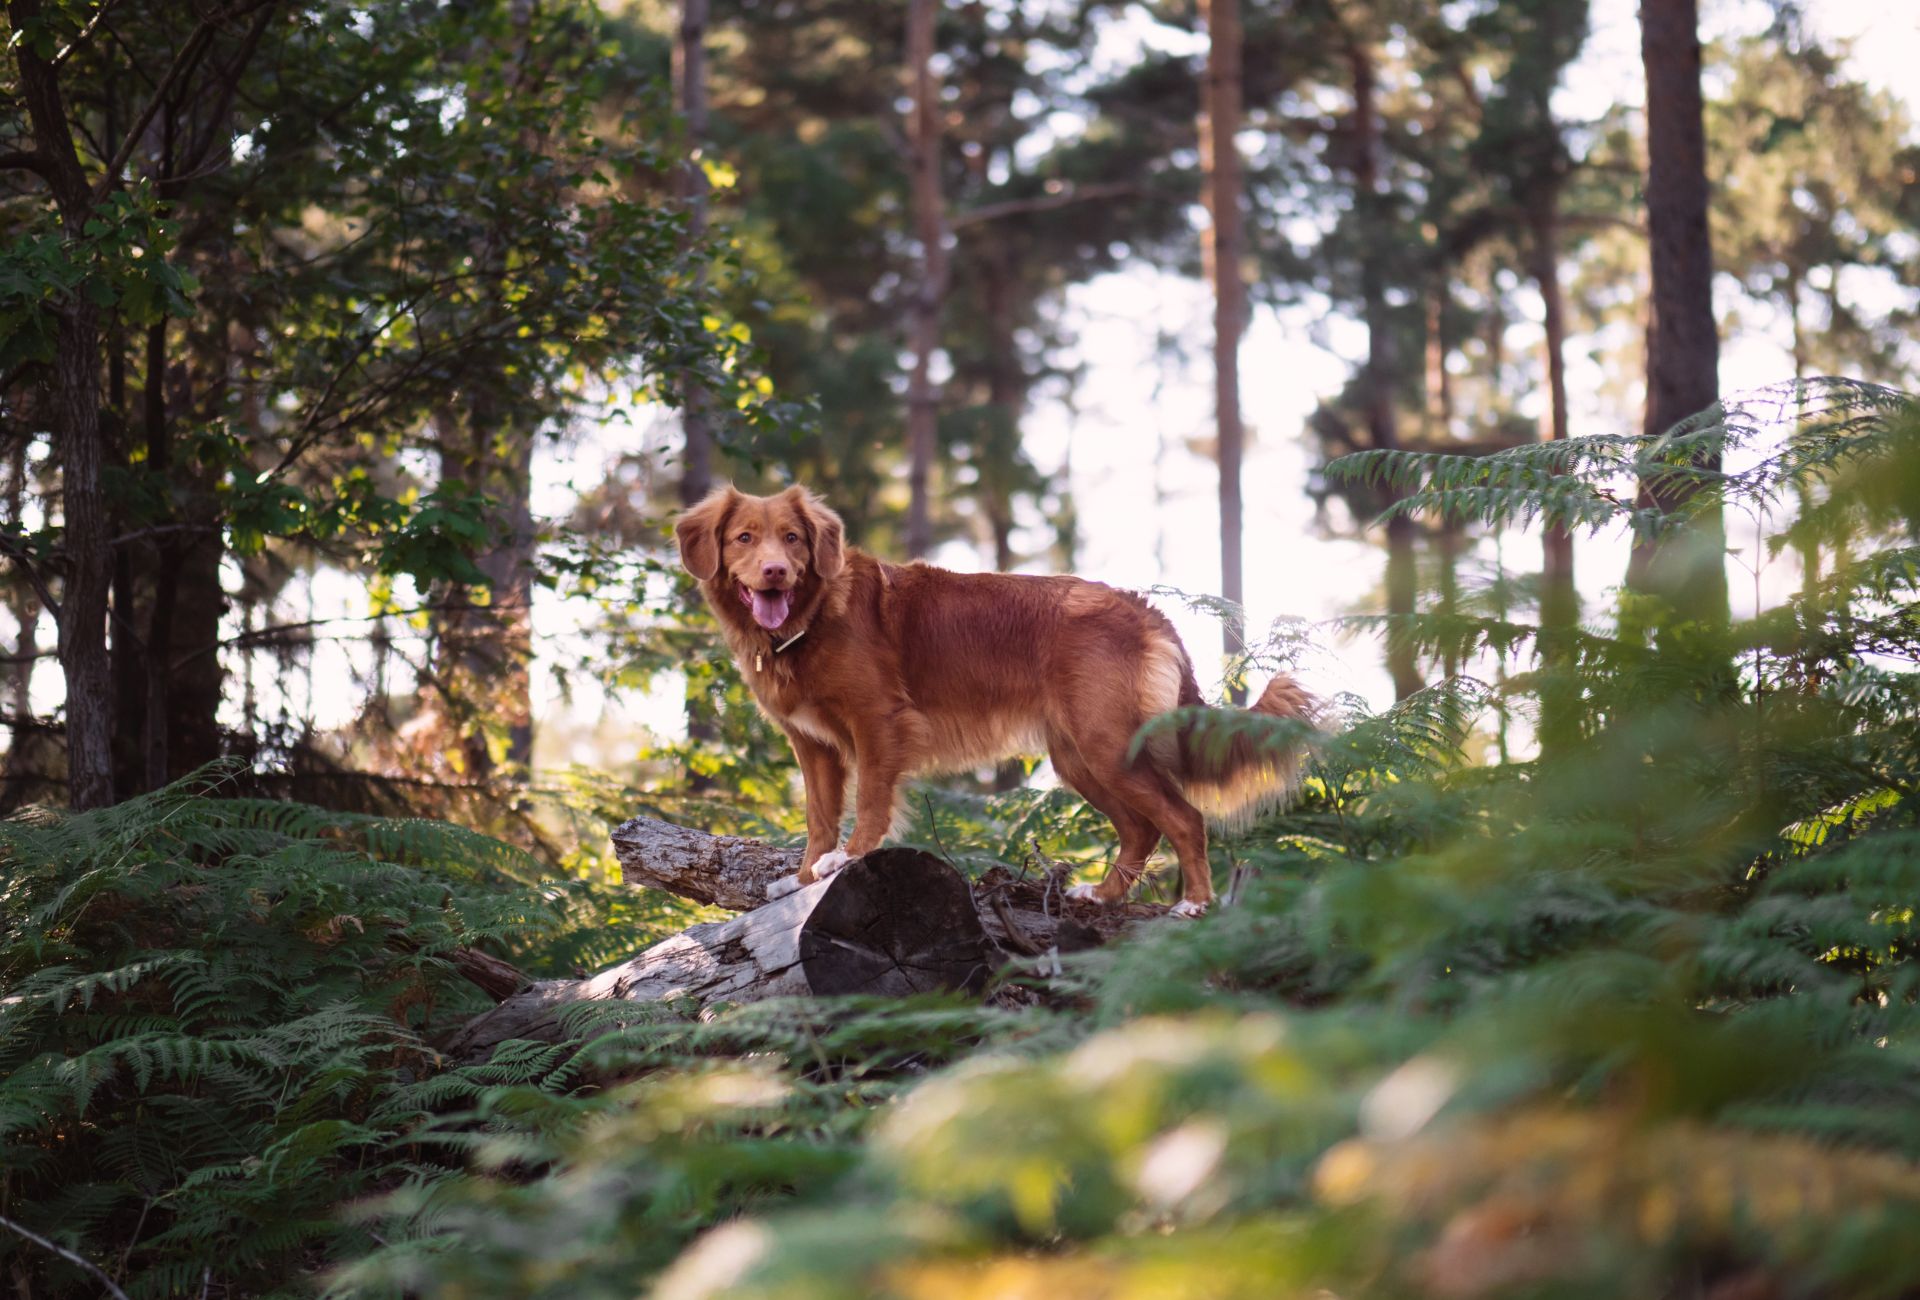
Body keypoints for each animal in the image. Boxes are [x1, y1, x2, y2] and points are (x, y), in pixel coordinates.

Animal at [668, 481, 1313, 906]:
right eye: (744, 538)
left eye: (793, 539)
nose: (775, 571)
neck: (812, 616)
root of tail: (1144, 608)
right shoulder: (813, 745)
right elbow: (818, 816)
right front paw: (803, 878)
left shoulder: (879, 723)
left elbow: (869, 803)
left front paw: (848, 859)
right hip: (1078, 758)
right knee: (1142, 830)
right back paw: (1103, 895)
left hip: (1107, 745)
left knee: (1184, 818)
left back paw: (1194, 904)